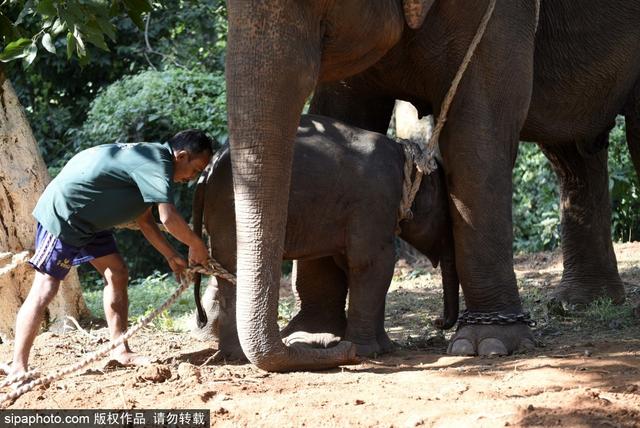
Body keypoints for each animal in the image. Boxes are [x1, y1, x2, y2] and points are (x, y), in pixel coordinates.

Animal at [192, 114, 458, 361]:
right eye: (447, 214)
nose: (438, 322)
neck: (405, 158)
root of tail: (207, 172)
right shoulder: (374, 202)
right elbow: (373, 263)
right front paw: (367, 352)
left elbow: (358, 266)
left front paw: (386, 348)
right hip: (229, 211)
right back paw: (238, 354)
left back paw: (233, 354)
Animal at [224, 0, 640, 370]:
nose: (440, 322)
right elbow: (340, 109)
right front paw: (312, 339)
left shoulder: (501, 13)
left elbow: (477, 135)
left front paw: (487, 344)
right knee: (573, 153)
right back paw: (581, 302)